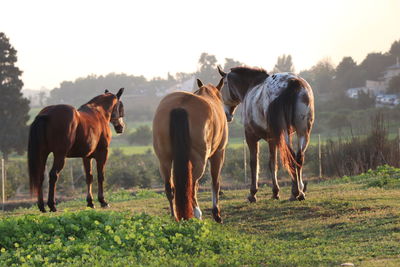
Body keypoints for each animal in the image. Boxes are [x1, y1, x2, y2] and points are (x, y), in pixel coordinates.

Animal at [153, 78, 228, 223]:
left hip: (164, 160)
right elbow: (215, 182)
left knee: (170, 187)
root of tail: (180, 106)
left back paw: (175, 217)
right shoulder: (218, 153)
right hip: (200, 160)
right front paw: (216, 214)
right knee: (192, 185)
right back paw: (197, 214)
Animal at [217, 66, 314, 203]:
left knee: (291, 157)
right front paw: (275, 192)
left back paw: (295, 192)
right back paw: (300, 192)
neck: (251, 87)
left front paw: (252, 193)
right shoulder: (272, 138)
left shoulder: (250, 136)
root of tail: (293, 82)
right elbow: (272, 163)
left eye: (224, 84)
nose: (226, 114)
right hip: (303, 131)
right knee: (298, 157)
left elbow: (254, 163)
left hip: (284, 133)